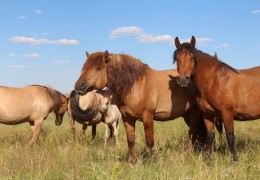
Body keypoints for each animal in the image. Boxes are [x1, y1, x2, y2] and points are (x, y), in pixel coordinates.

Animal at [73, 50, 207, 163]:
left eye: (98, 68)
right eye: (84, 67)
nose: (79, 86)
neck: (136, 85)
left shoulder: (147, 116)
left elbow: (149, 140)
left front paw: (154, 161)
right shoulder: (127, 118)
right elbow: (130, 140)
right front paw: (132, 161)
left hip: (194, 112)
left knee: (192, 132)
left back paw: (189, 155)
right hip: (186, 114)